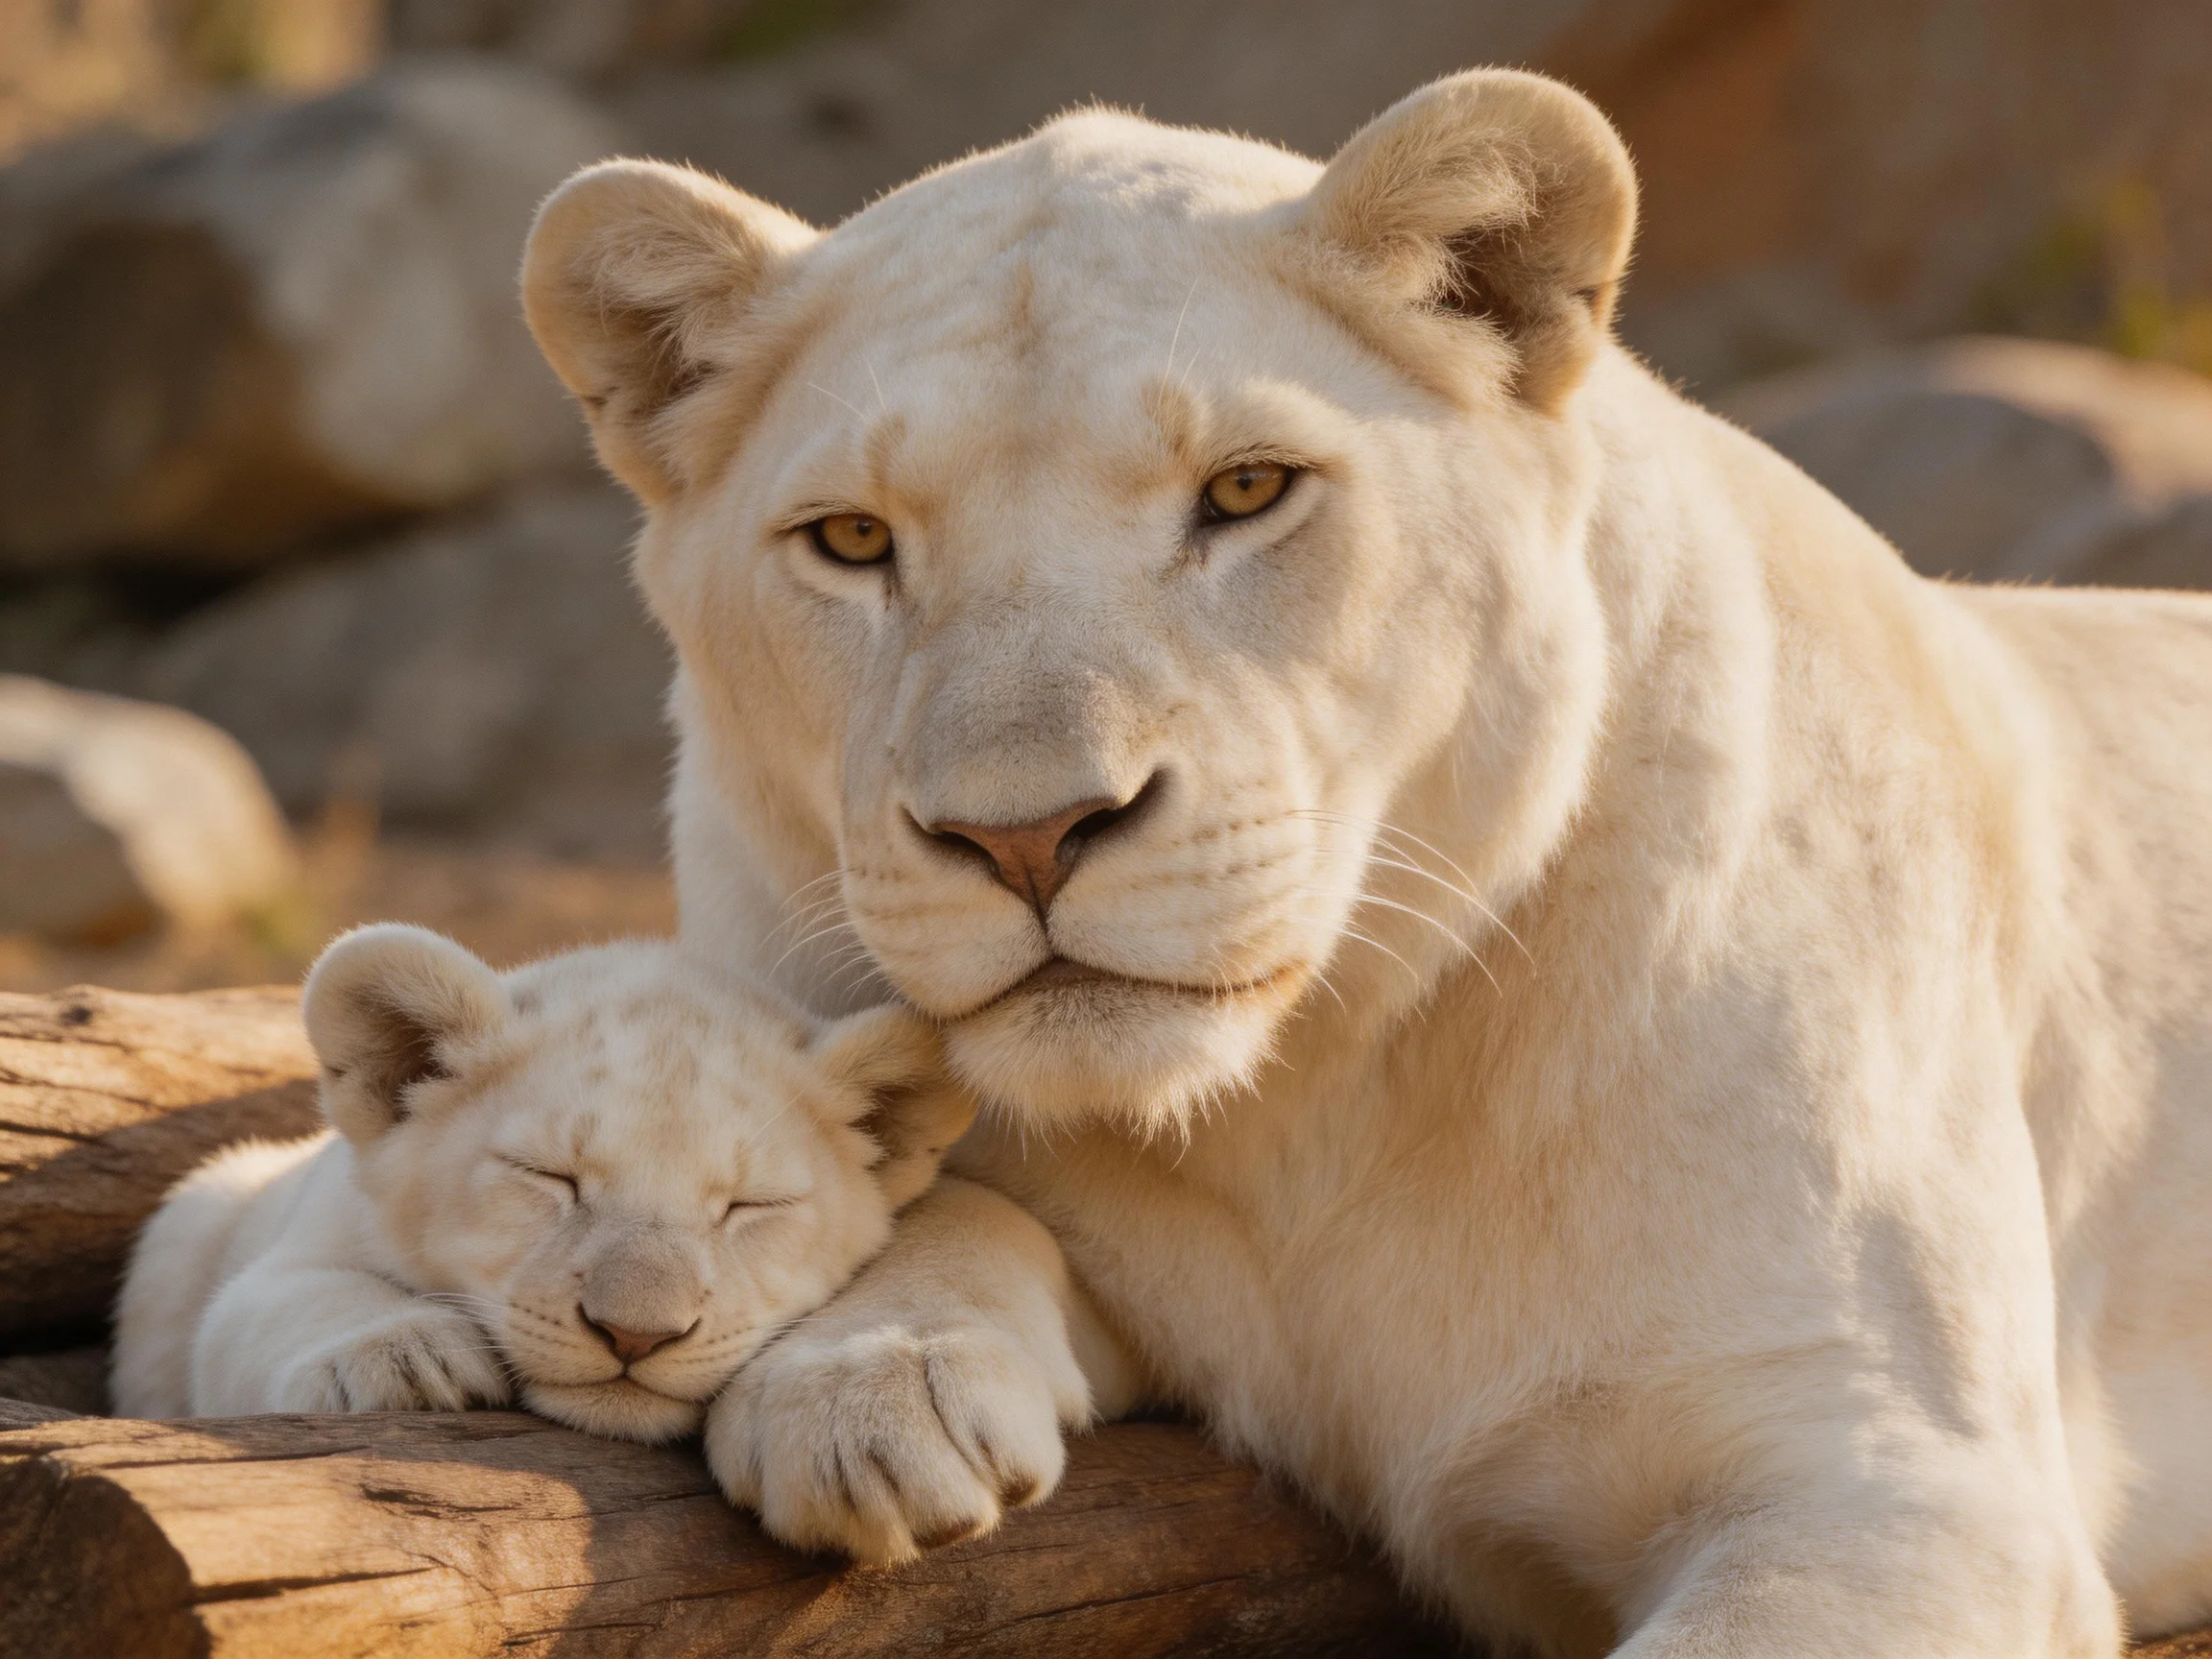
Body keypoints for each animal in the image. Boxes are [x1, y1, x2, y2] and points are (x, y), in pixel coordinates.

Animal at [111, 925, 972, 1443]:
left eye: (748, 1207)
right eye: (548, 1177)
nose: (635, 1336)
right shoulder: (281, 1260)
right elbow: (288, 1301)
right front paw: (408, 1359)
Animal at [519, 69, 2212, 1656]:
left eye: (1248, 491)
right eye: (854, 541)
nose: (1027, 833)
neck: (1309, 1113)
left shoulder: (1895, 1480)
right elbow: (949, 1195)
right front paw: (869, 1382)